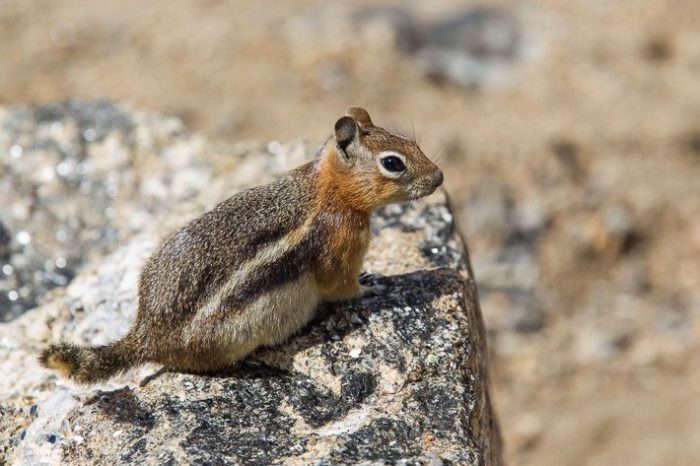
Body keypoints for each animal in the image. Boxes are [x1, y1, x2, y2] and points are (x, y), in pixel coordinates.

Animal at [39, 107, 442, 384]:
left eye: (411, 142)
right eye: (393, 163)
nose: (438, 177)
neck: (330, 191)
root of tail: (146, 336)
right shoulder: (339, 249)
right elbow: (340, 287)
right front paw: (372, 286)